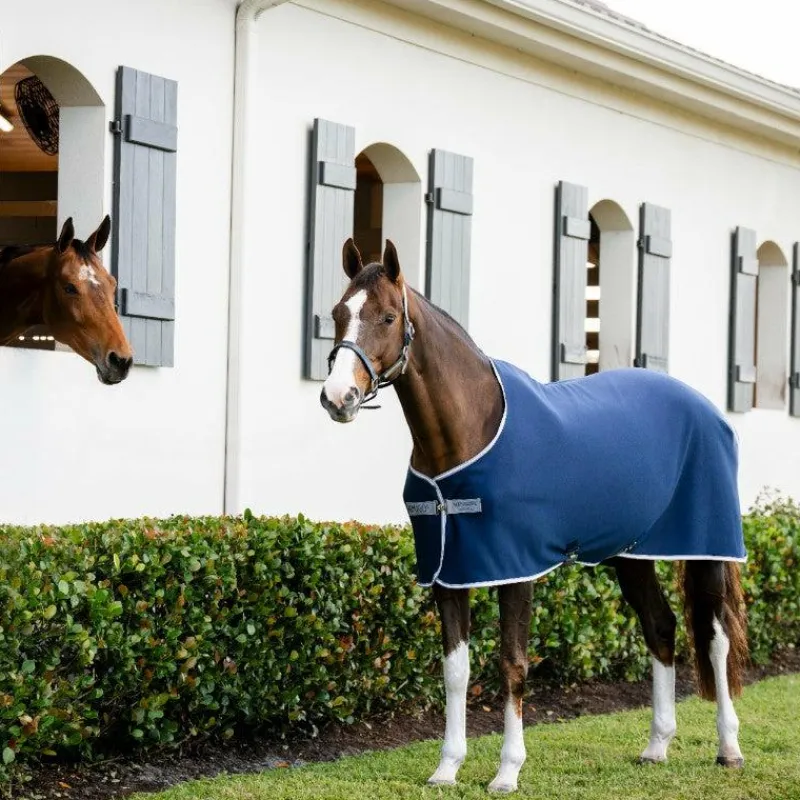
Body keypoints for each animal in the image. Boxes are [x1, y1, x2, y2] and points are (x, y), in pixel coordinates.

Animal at [320, 239, 749, 793]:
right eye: (338, 313)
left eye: (389, 317)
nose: (338, 398)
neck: (470, 430)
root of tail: (708, 409)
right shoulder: (449, 573)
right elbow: (455, 671)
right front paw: (447, 767)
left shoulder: (514, 569)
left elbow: (513, 665)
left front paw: (507, 771)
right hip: (632, 556)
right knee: (661, 627)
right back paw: (656, 746)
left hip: (708, 548)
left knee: (716, 640)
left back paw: (729, 748)